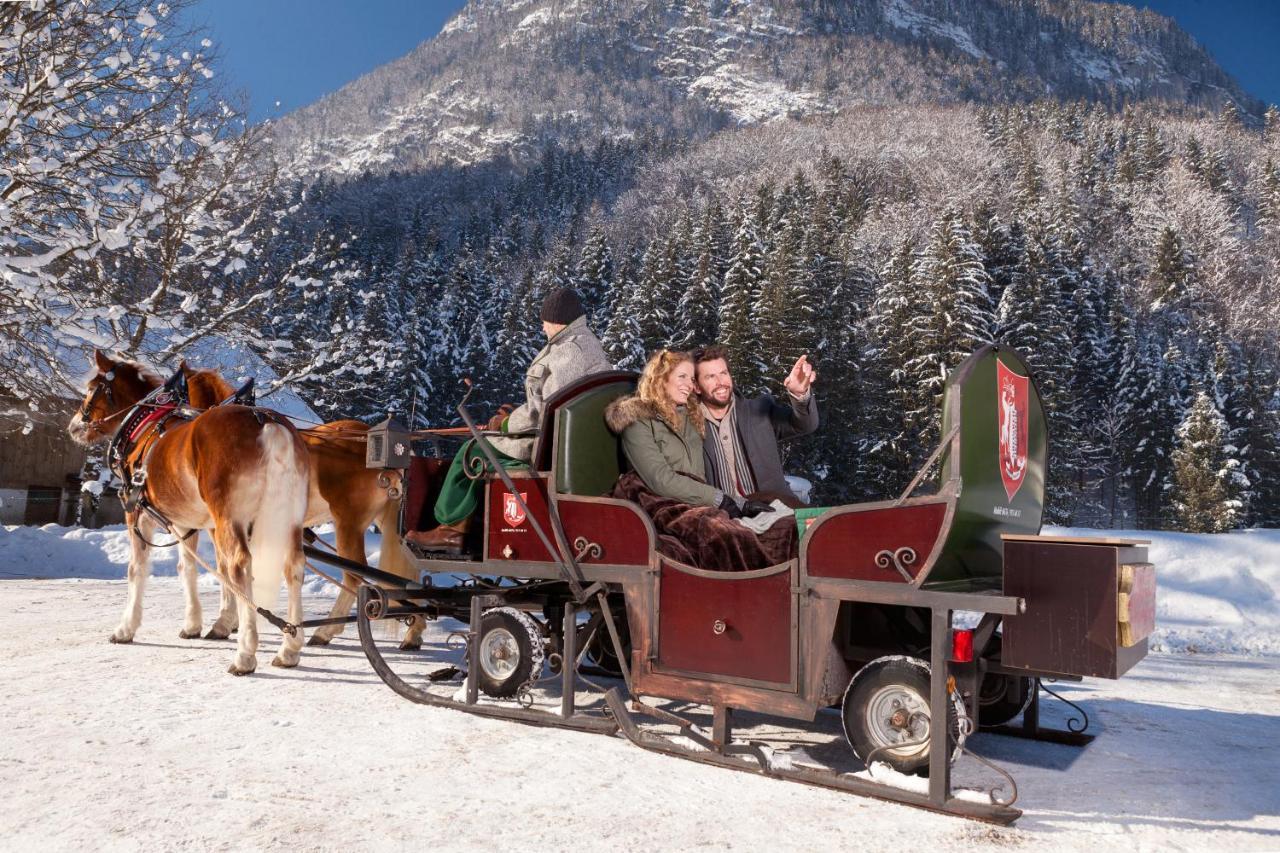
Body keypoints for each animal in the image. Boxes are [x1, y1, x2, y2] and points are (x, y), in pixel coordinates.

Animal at [68, 348, 311, 676]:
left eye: (92, 388)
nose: (74, 426)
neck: (146, 428)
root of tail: (265, 422)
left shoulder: (139, 515)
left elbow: (137, 570)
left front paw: (126, 628)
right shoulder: (187, 523)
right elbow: (189, 568)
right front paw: (196, 623)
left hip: (230, 519)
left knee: (241, 566)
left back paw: (245, 654)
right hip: (289, 519)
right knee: (293, 566)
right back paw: (290, 647)